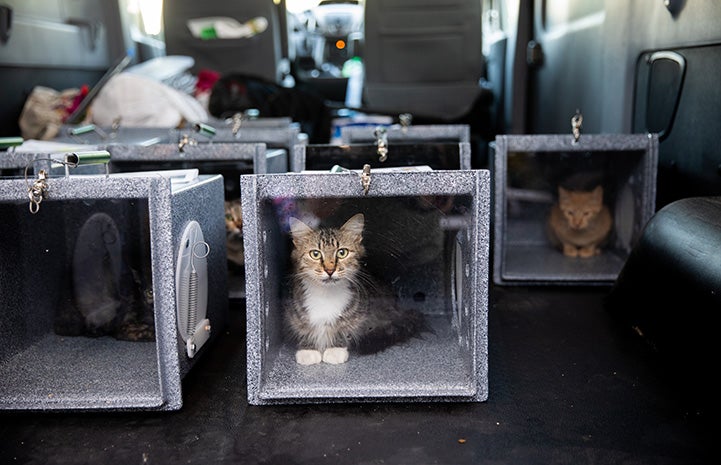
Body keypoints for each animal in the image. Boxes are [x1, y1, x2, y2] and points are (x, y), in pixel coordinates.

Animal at [282, 212, 428, 364]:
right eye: (315, 254)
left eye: (342, 252)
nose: (329, 270)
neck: (326, 294)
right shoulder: (294, 315)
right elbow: (304, 328)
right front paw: (308, 350)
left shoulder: (358, 318)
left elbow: (343, 329)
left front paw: (335, 350)